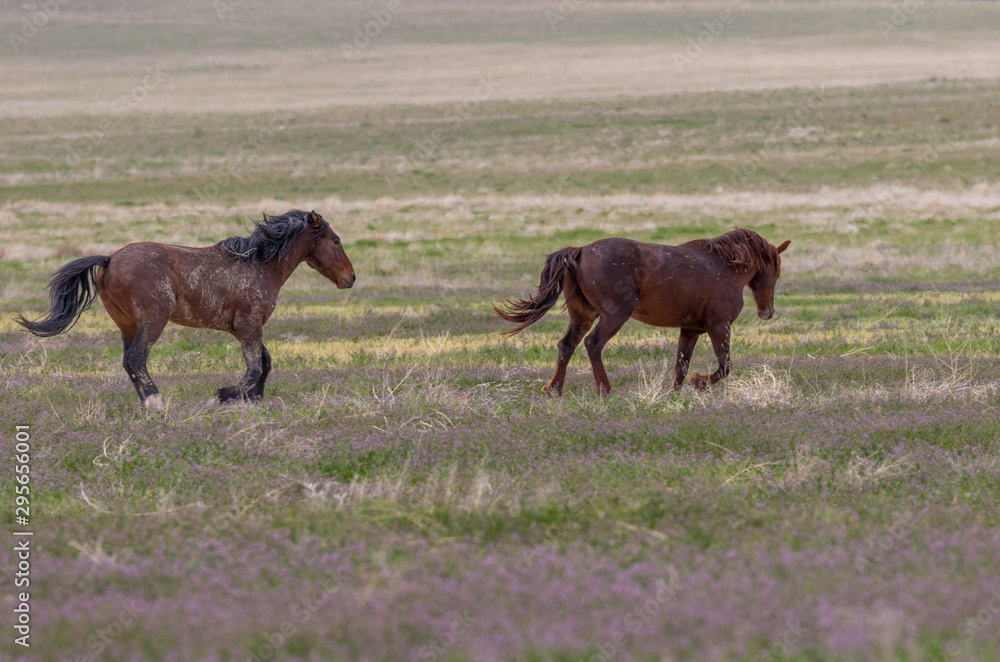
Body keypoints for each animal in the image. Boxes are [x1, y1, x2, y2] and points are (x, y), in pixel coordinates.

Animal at [16, 210, 355, 408]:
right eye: (336, 240)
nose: (350, 278)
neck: (260, 265)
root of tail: (110, 259)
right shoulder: (249, 325)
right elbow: (256, 367)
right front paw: (225, 394)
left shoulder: (244, 328)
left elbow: (265, 362)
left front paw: (250, 398)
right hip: (153, 321)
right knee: (136, 359)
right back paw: (155, 403)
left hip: (127, 324)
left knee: (129, 362)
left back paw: (145, 404)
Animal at [493, 228, 790, 396]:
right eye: (774, 271)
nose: (767, 312)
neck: (725, 266)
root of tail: (579, 252)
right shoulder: (719, 326)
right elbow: (724, 366)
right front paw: (700, 383)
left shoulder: (691, 329)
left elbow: (681, 365)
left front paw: (675, 393)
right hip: (614, 315)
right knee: (593, 344)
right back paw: (604, 389)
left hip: (582, 316)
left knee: (567, 345)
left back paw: (554, 389)